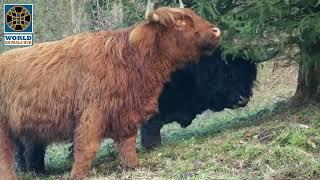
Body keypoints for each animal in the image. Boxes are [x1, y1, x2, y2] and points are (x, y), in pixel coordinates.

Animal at [0, 6, 220, 179]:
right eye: (180, 21)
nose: (216, 30)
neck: (128, 61)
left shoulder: (126, 113)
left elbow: (127, 143)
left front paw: (132, 167)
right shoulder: (92, 112)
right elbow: (86, 147)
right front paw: (77, 175)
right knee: (6, 157)